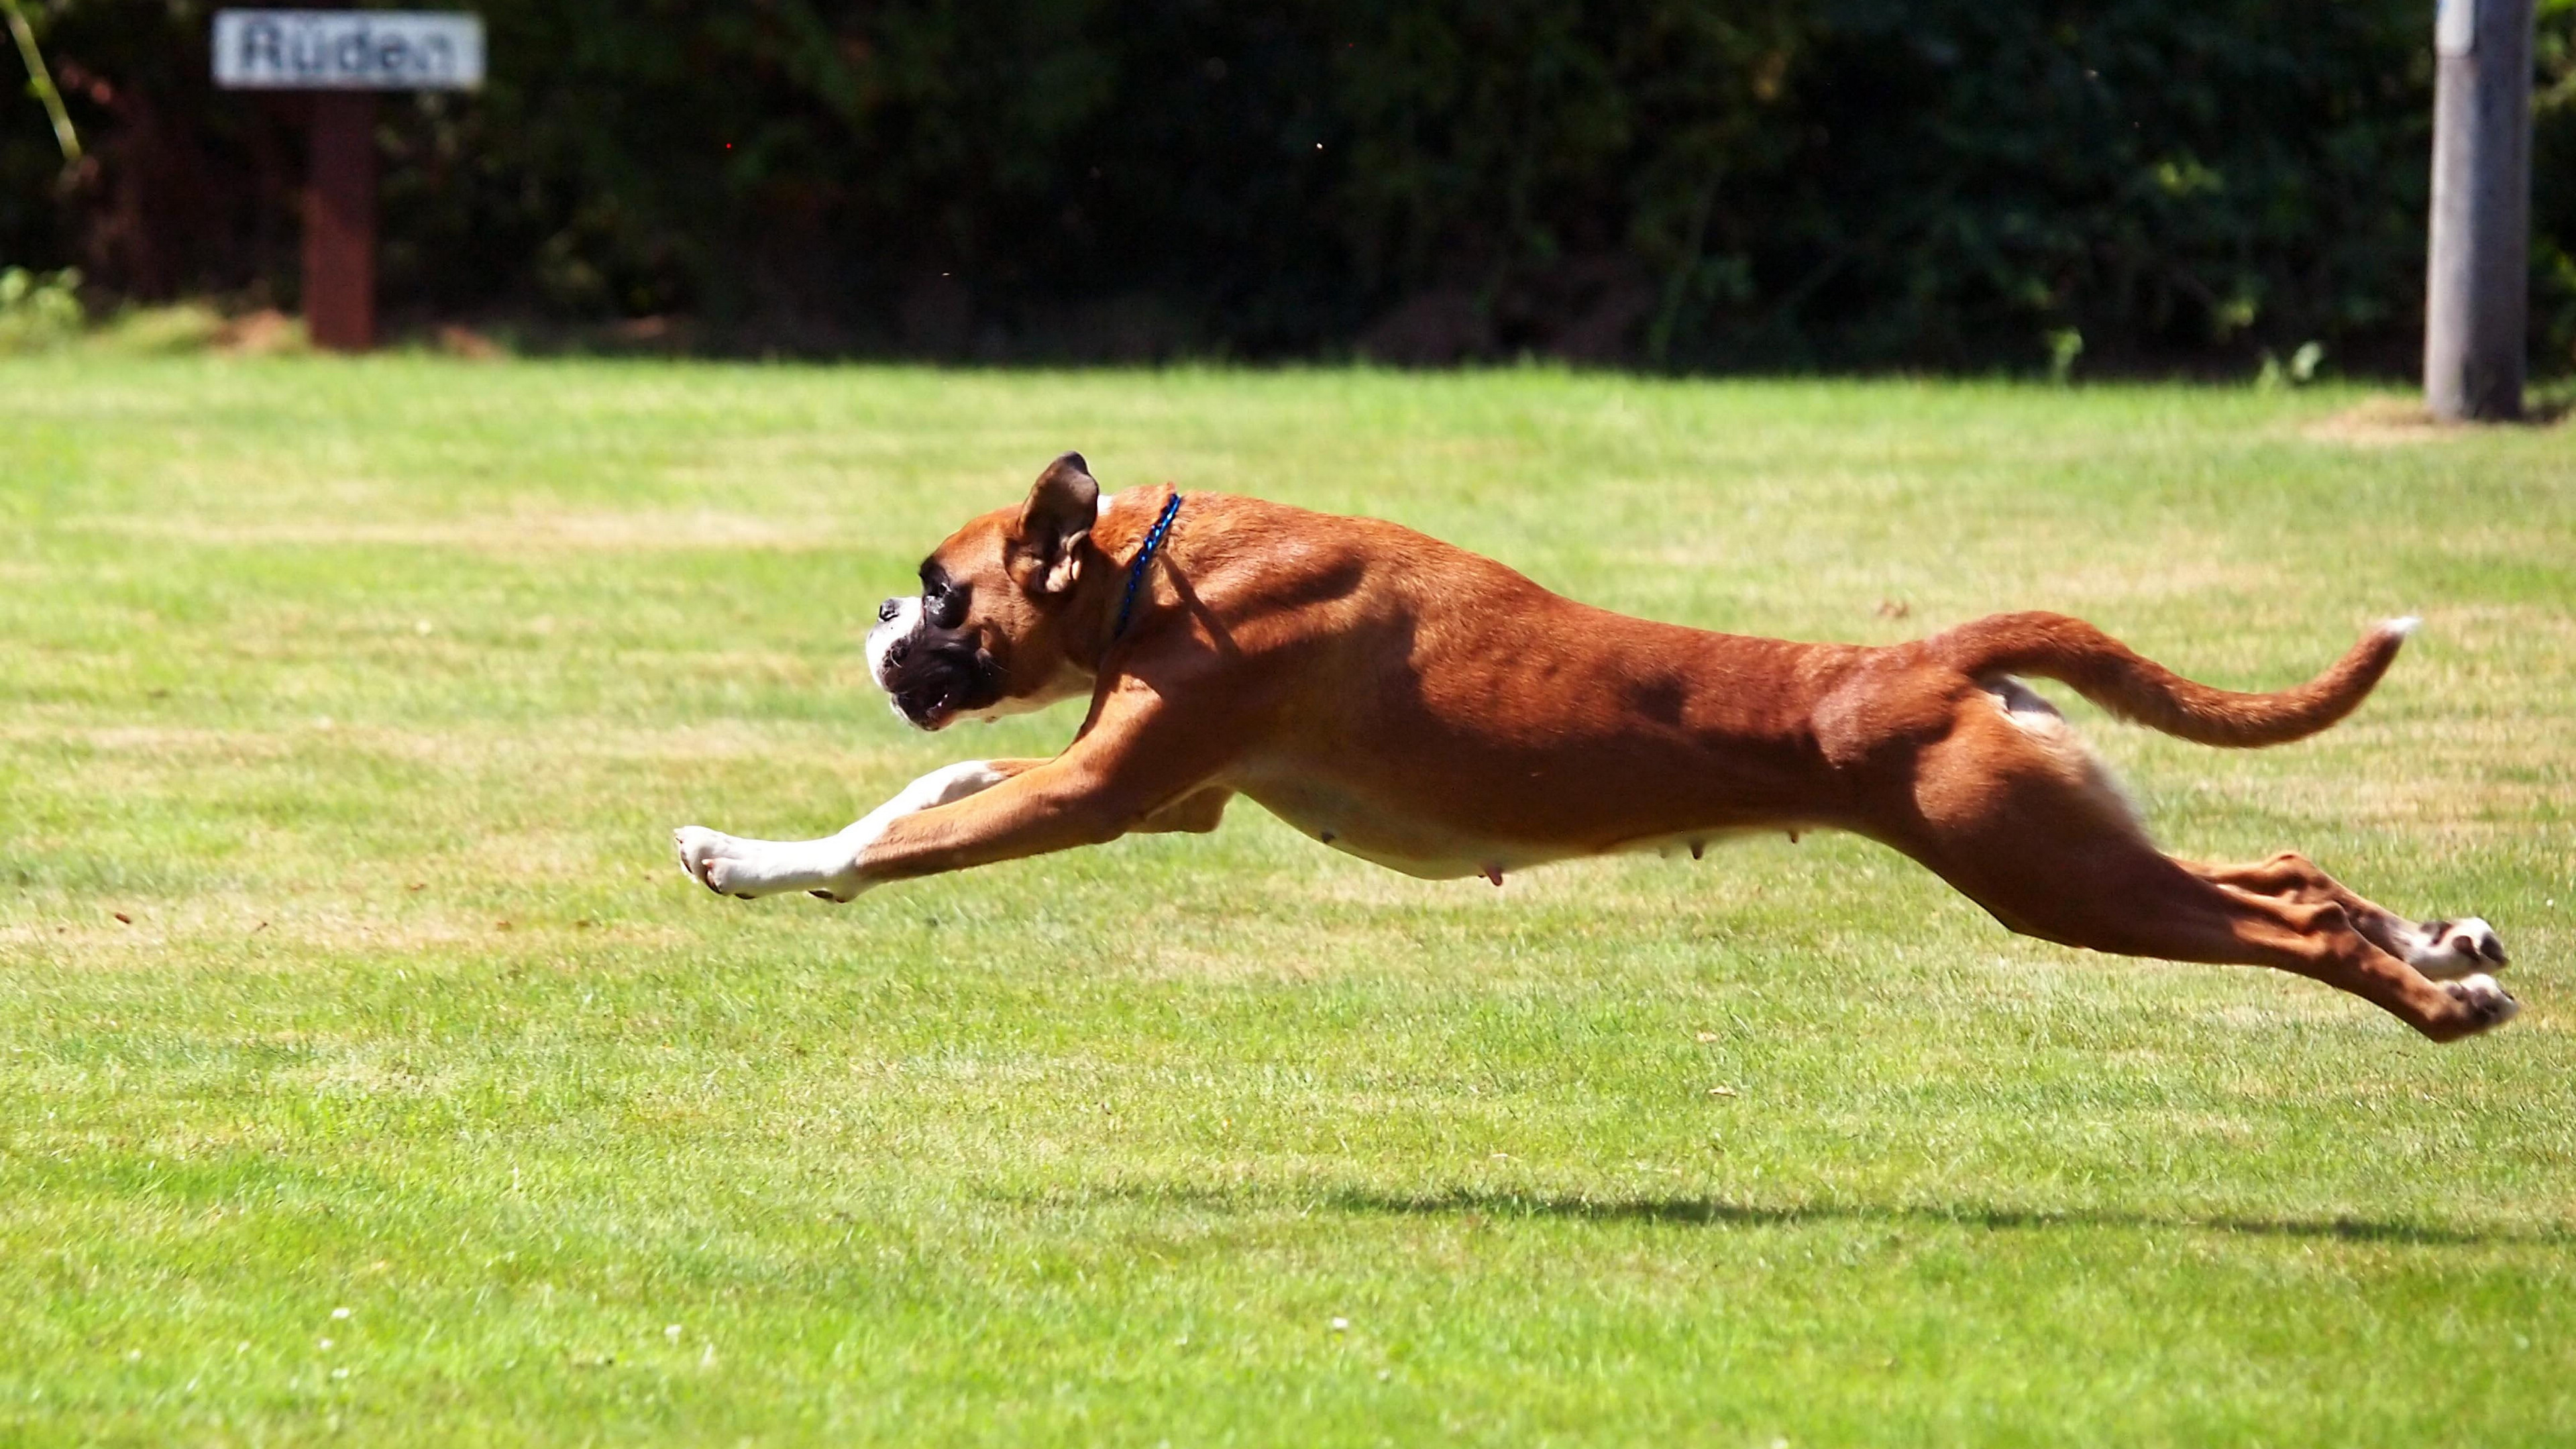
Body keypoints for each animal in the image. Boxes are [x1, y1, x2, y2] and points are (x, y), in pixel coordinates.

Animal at [680, 456, 2514, 1031]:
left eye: (942, 590)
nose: (876, 618)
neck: (1163, 562)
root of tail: (1927, 659)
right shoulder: (1150, 797)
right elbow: (928, 786)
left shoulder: (1090, 793)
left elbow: (903, 826)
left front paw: (751, 858)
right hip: (2072, 840)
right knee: (2289, 871)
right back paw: (2446, 942)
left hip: (2051, 877)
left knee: (2280, 923)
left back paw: (2434, 1000)